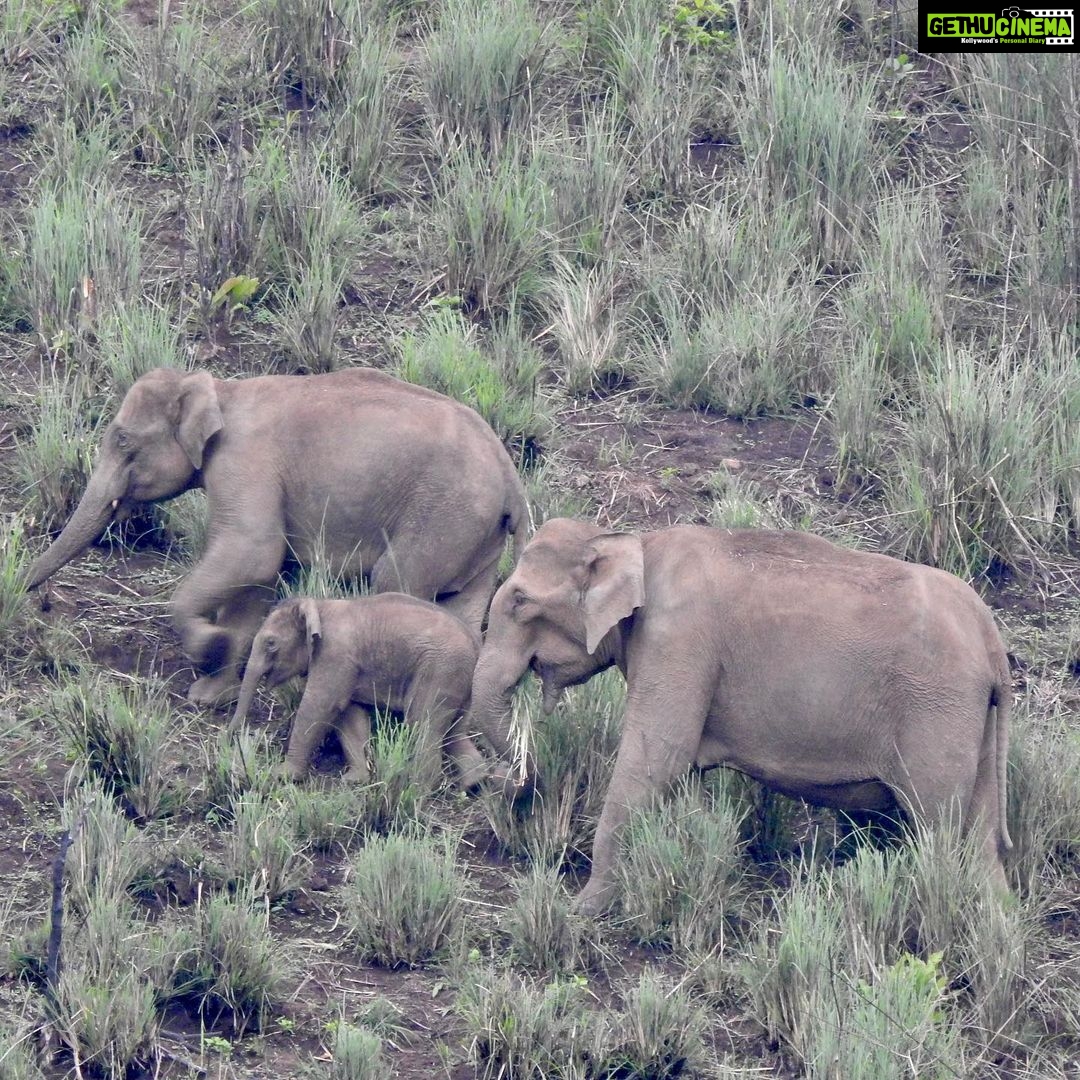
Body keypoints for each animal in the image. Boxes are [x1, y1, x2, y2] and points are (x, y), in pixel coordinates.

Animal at [25, 367, 529, 706]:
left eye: (124, 440)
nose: (36, 597)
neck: (219, 390)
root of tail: (511, 478)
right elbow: (257, 578)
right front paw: (212, 691)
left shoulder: (243, 462)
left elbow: (253, 553)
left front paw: (210, 647)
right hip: (476, 539)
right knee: (463, 611)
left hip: (442, 518)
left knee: (395, 581)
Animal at [229, 594, 487, 787]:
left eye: (271, 643)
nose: (232, 736)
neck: (318, 606)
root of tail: (476, 644)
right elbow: (349, 715)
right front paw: (355, 780)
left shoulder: (335, 654)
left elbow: (319, 706)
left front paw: (282, 775)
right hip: (459, 681)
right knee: (452, 730)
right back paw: (474, 783)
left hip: (440, 670)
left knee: (422, 723)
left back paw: (417, 786)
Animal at [468, 517, 1013, 915]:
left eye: (520, 601)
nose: (518, 783)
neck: (631, 541)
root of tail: (993, 643)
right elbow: (679, 775)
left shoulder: (679, 639)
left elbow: (656, 761)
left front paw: (581, 910)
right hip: (973, 722)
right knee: (980, 841)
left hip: (937, 713)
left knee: (940, 829)